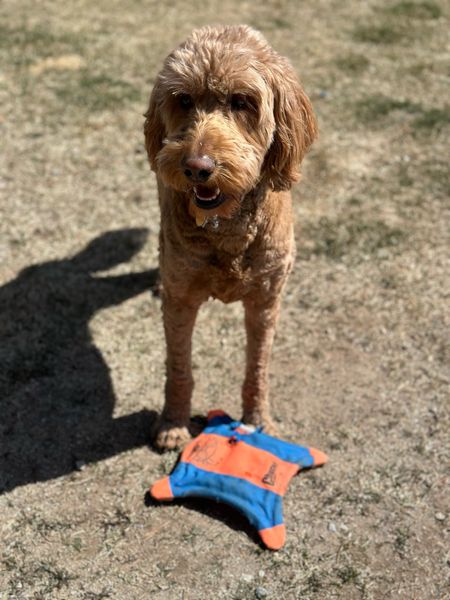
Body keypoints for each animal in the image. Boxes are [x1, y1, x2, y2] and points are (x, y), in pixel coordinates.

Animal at [144, 25, 316, 448]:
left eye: (242, 101)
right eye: (184, 99)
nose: (197, 167)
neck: (226, 227)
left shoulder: (266, 302)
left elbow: (258, 368)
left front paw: (258, 422)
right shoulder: (181, 300)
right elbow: (179, 367)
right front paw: (173, 424)